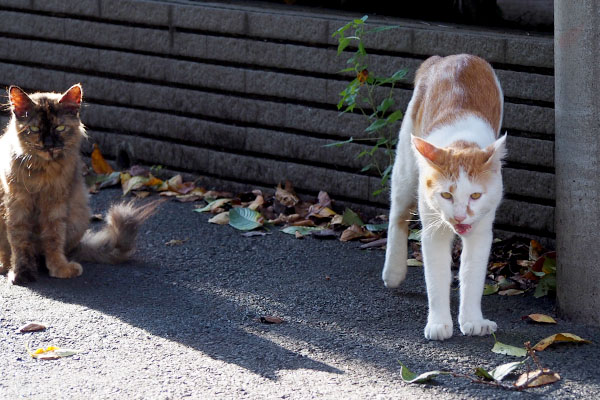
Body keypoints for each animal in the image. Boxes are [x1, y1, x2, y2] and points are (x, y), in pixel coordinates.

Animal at [0, 84, 157, 284]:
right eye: (34, 128)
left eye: (60, 127)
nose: (49, 144)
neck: (42, 171)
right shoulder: (17, 205)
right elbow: (19, 241)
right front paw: (21, 273)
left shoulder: (56, 205)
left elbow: (54, 239)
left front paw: (59, 268)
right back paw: (4, 266)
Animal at [382, 54, 504, 340]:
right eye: (446, 194)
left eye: (475, 195)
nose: (459, 216)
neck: (461, 142)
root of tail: (453, 57)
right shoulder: (433, 229)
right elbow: (436, 278)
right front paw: (439, 324)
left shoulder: (481, 230)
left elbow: (471, 275)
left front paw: (473, 321)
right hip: (406, 166)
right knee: (397, 214)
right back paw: (393, 272)